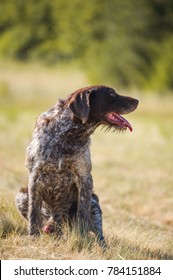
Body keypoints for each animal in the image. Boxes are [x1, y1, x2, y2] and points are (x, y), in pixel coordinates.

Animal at [15, 85, 138, 247]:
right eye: (111, 94)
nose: (137, 100)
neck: (68, 135)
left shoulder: (85, 179)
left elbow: (82, 214)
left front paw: (81, 239)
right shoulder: (35, 177)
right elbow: (33, 213)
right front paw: (32, 238)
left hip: (94, 203)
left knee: (99, 234)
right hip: (22, 195)